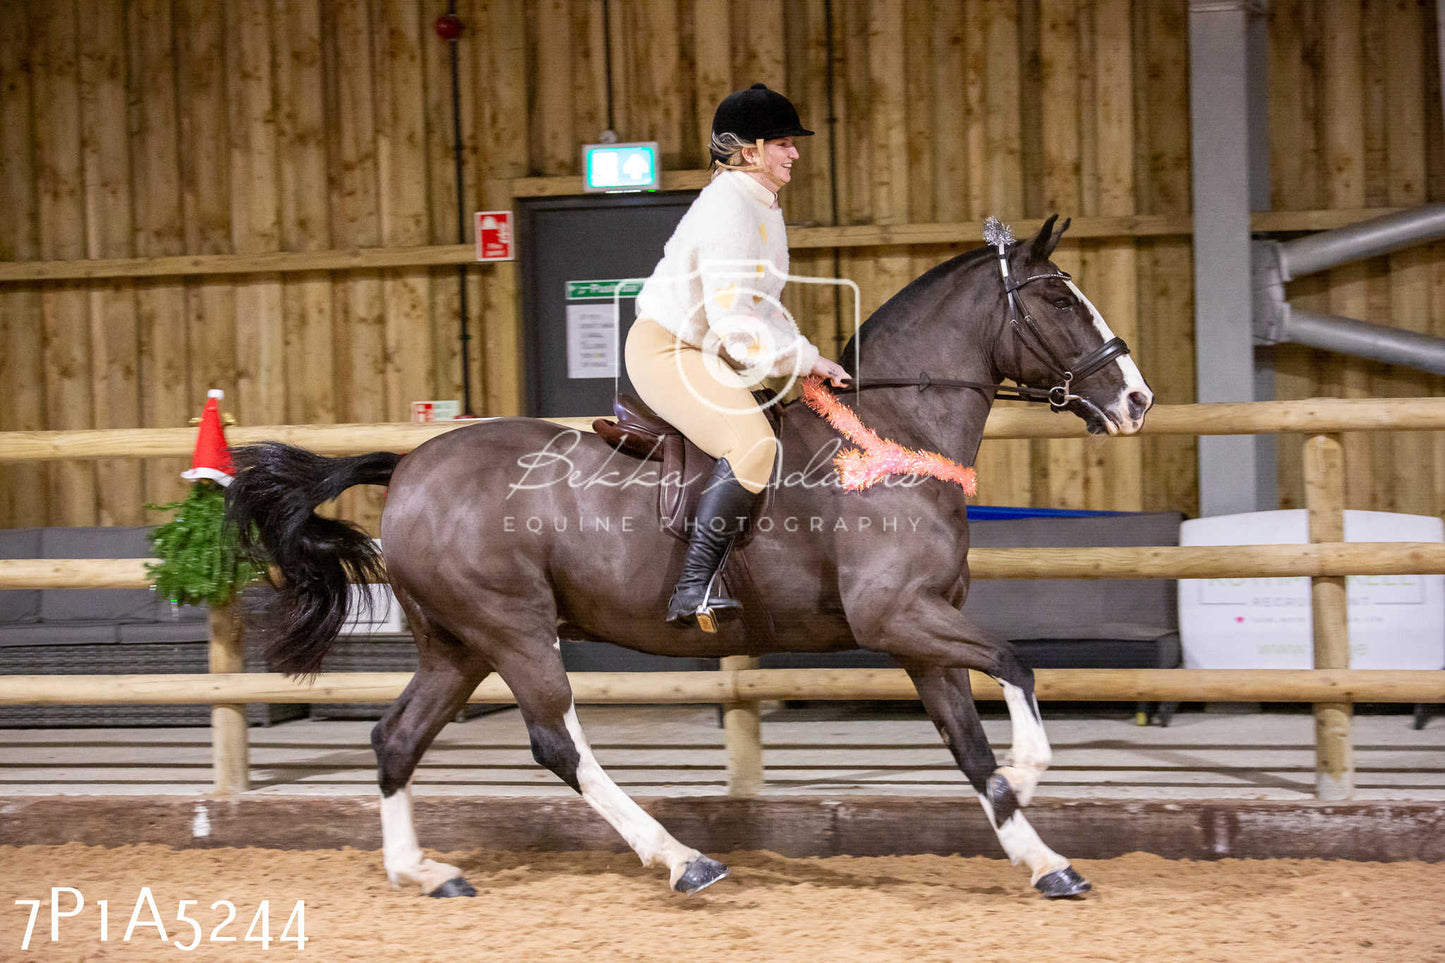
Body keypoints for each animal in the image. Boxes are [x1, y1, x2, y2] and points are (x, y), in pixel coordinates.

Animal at [225, 215, 1150, 902]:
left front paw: (1043, 859)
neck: (888, 437)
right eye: (1058, 298)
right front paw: (1029, 777)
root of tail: (410, 463)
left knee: (395, 737)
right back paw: (682, 859)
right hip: (512, 629)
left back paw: (422, 869)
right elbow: (1016, 666)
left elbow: (970, 745)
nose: (1135, 398)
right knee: (556, 743)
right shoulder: (898, 616)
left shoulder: (922, 635)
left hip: (457, 644)